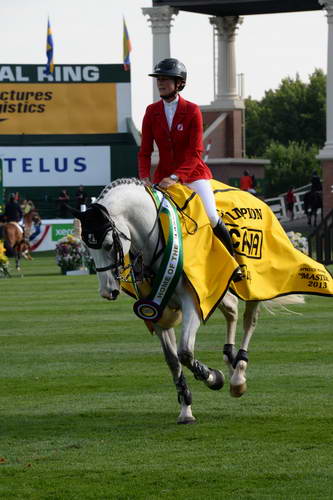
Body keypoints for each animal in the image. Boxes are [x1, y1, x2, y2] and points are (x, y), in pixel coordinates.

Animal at [72, 178, 300, 424]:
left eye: (107, 244)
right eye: (87, 248)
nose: (108, 291)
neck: (156, 238)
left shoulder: (195, 302)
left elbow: (185, 353)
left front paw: (213, 377)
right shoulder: (156, 310)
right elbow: (173, 360)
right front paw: (186, 408)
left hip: (254, 284)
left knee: (250, 320)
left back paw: (238, 374)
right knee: (232, 312)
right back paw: (229, 359)